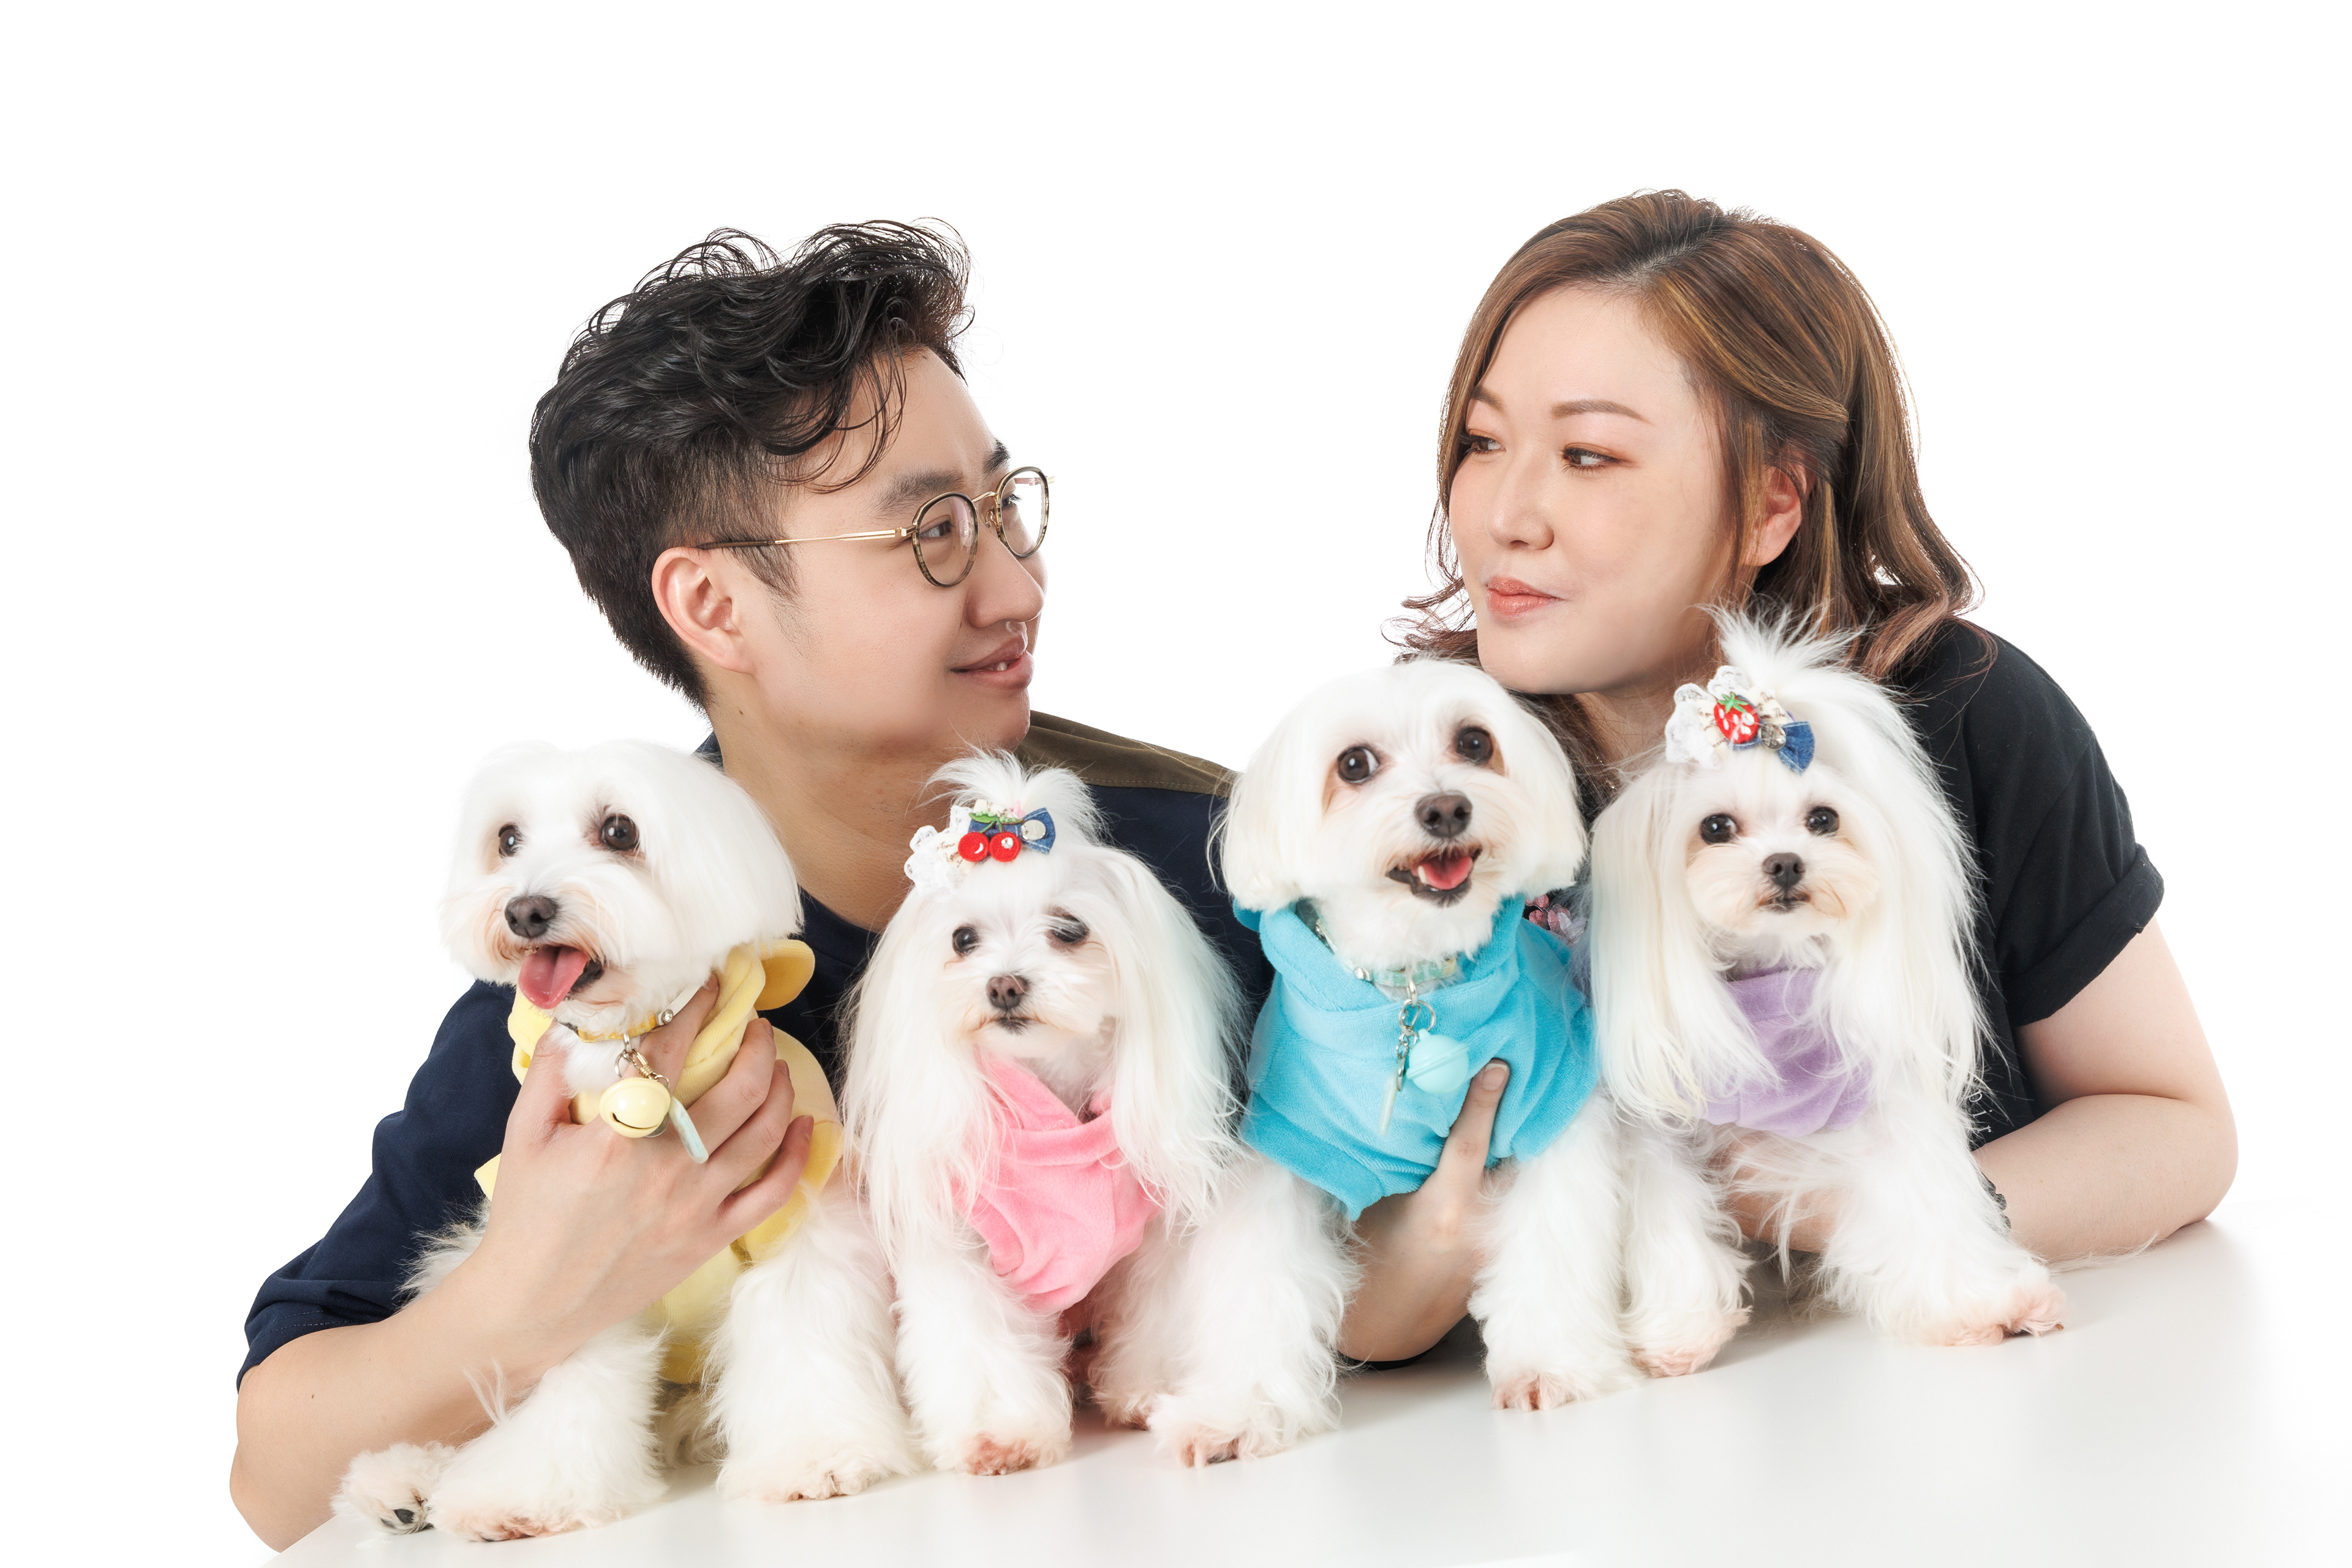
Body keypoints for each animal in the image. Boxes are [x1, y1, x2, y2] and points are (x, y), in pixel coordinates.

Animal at [335, 740, 911, 1541]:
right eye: (507, 840)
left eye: (618, 831)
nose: (525, 909)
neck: (629, 1048)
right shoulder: (574, 1273)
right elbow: (567, 1382)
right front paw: (527, 1493)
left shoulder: (799, 1218)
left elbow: (801, 1334)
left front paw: (813, 1457)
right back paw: (404, 1480)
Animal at [843, 754, 1351, 1473]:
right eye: (963, 939)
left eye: (1068, 929)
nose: (1004, 985)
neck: (1053, 1095)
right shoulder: (962, 1247)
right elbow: (978, 1339)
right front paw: (1000, 1434)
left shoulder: (1155, 1243)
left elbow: (1155, 1314)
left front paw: (1144, 1392)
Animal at [1220, 659, 1750, 1407]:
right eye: (1353, 764)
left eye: (1474, 743)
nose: (1446, 808)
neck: (1416, 988)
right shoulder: (1294, 1142)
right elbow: (1257, 1277)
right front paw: (1234, 1408)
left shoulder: (1551, 1105)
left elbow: (1553, 1245)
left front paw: (1552, 1366)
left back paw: (1683, 1331)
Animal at [1588, 615, 2066, 1344]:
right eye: (1715, 828)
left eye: (1823, 819)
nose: (1786, 863)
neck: (1772, 971)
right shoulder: (1663, 1130)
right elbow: (1670, 1215)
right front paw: (1681, 1330)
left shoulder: (1888, 1109)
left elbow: (1927, 1201)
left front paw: (1979, 1302)